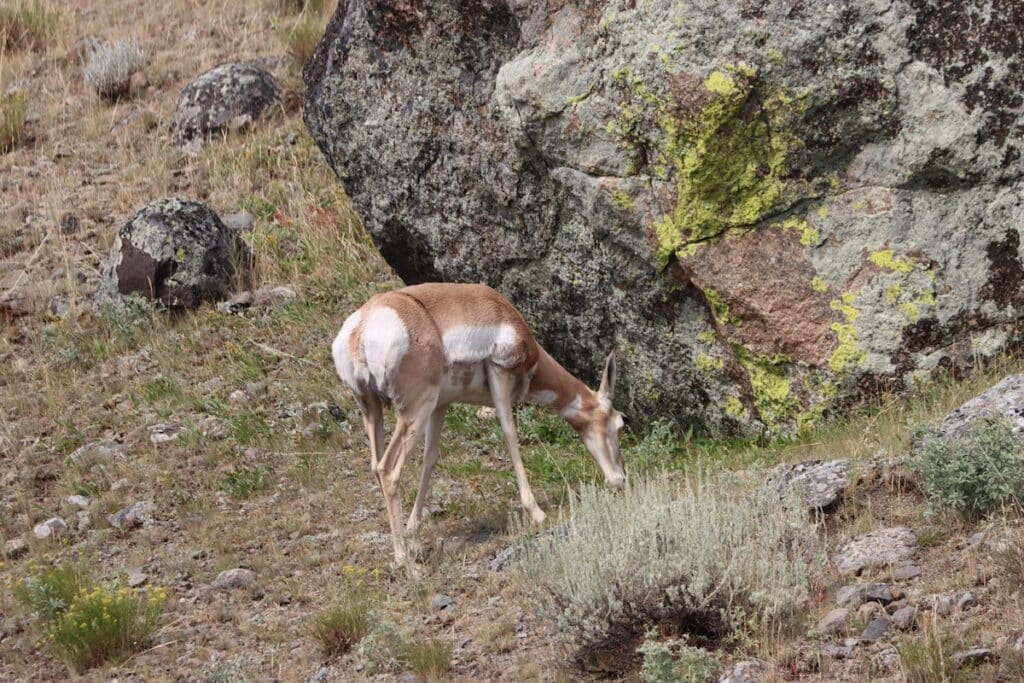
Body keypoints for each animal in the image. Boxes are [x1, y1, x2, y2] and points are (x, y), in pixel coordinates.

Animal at [332, 283, 626, 566]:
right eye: (620, 423)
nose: (620, 480)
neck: (505, 314)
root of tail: (361, 326)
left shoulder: (441, 405)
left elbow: (430, 458)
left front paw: (413, 531)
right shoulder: (499, 374)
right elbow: (510, 435)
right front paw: (537, 513)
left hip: (374, 409)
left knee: (375, 465)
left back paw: (406, 547)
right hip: (415, 409)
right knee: (388, 470)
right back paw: (403, 560)